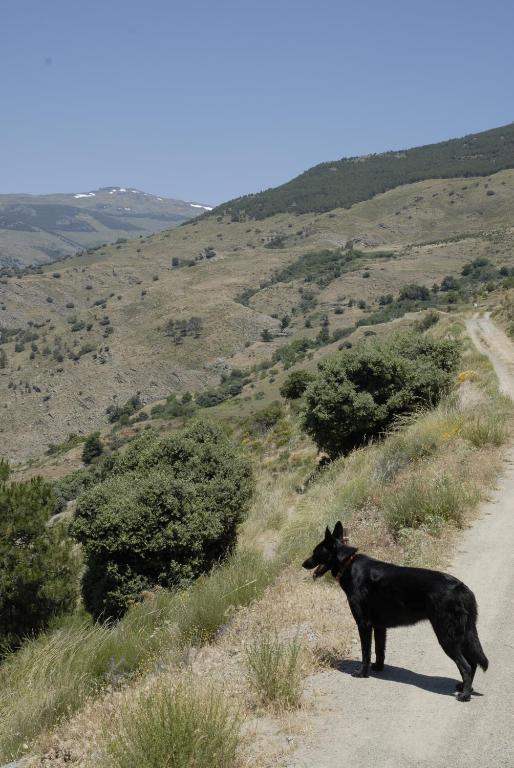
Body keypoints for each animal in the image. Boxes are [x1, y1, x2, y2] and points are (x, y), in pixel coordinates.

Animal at [302, 520, 486, 704]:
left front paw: (362, 673)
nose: (303, 564)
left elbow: (366, 653)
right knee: (472, 663)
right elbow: (379, 650)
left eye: (315, 552)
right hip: (463, 636)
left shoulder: (364, 624)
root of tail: (462, 588)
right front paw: (378, 668)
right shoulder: (379, 627)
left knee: (466, 666)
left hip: (447, 636)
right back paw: (465, 688)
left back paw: (465, 695)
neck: (348, 563)